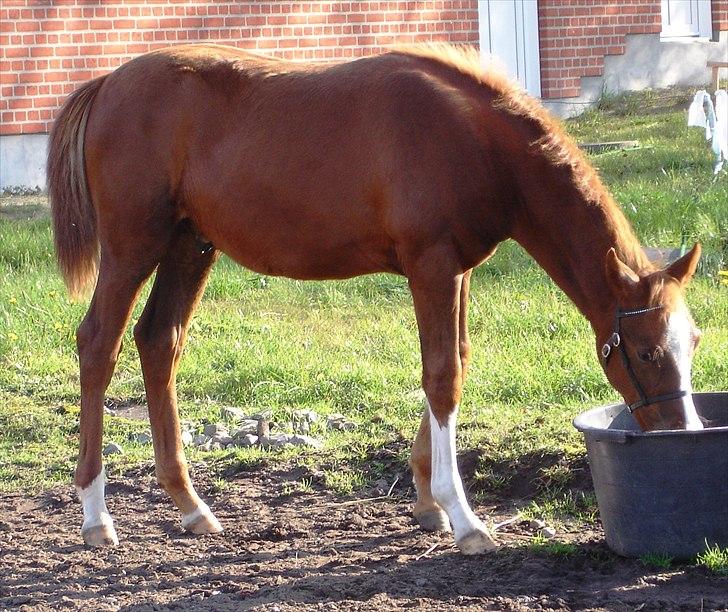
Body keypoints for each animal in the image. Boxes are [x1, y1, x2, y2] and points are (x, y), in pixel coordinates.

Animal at [48, 43, 704, 548]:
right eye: (646, 351)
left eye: (693, 341)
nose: (682, 430)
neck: (473, 138)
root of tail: (108, 84)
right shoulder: (432, 266)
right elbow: (442, 376)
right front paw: (462, 516)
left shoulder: (458, 270)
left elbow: (456, 360)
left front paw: (428, 501)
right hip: (134, 248)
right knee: (98, 344)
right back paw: (96, 516)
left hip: (191, 248)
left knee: (159, 342)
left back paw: (190, 506)